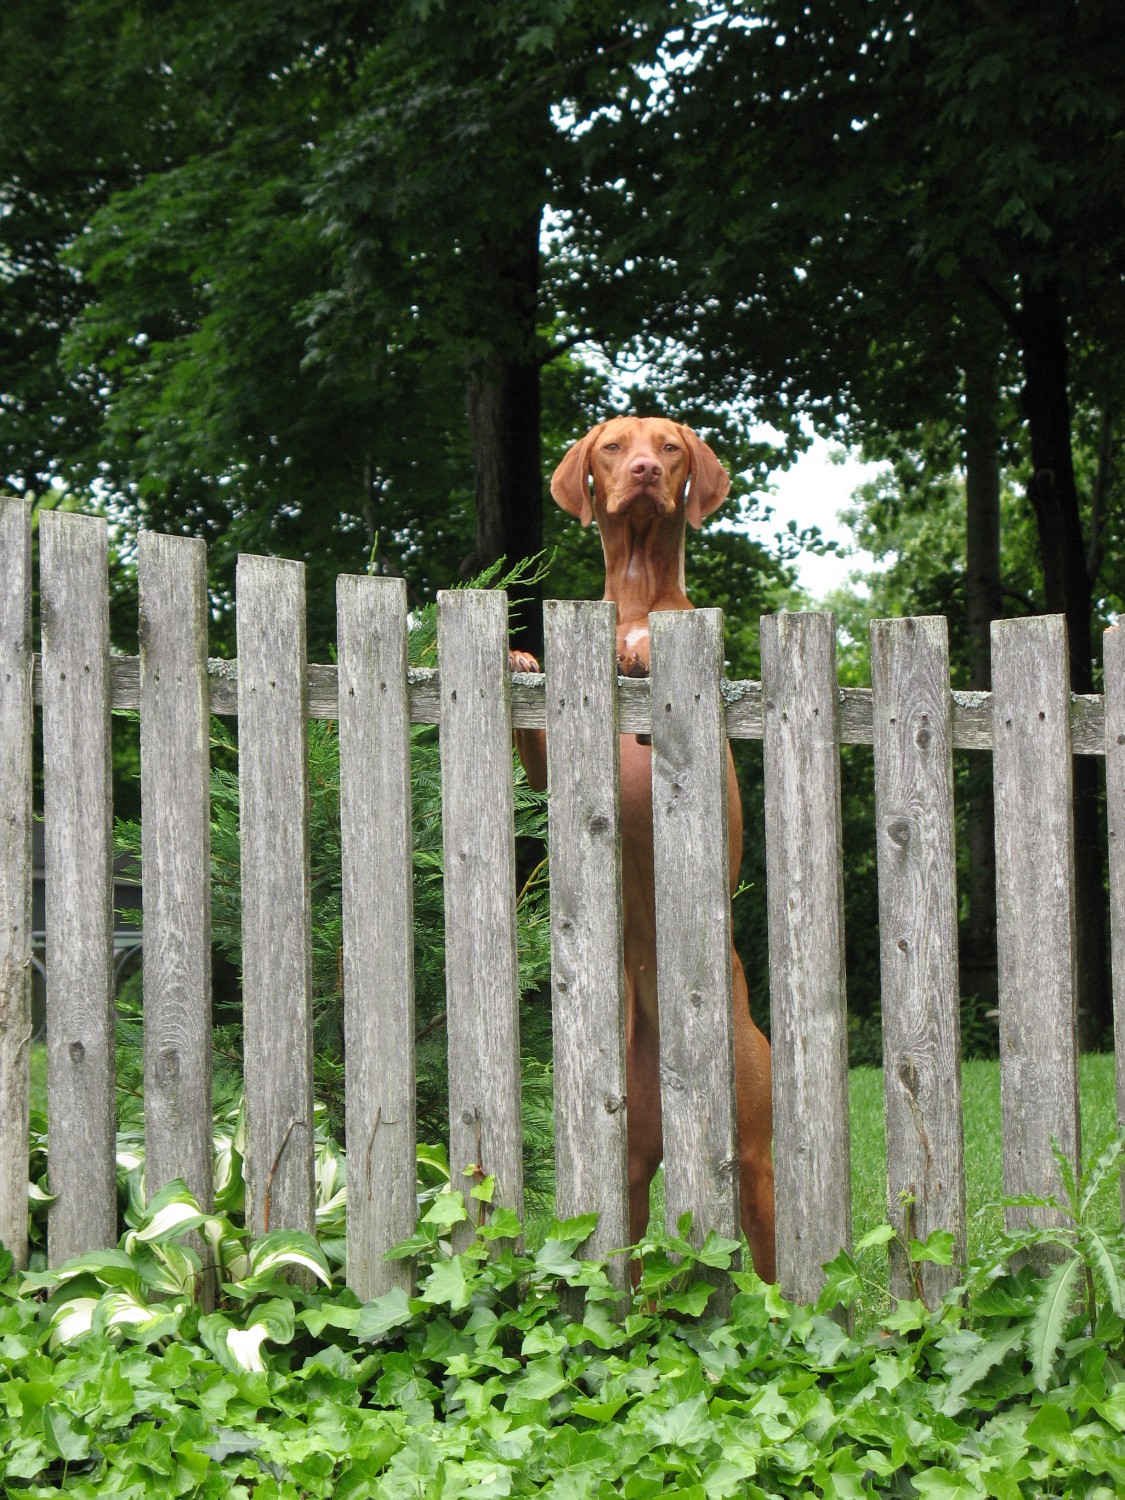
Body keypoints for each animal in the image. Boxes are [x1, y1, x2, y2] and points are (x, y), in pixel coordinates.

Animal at [510, 417, 774, 1284]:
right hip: (621, 1164)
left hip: (752, 1156)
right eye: (613, 446)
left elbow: (658, 664)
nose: (646, 474)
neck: (631, 594)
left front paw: (640, 653)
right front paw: (522, 657)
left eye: (670, 447)